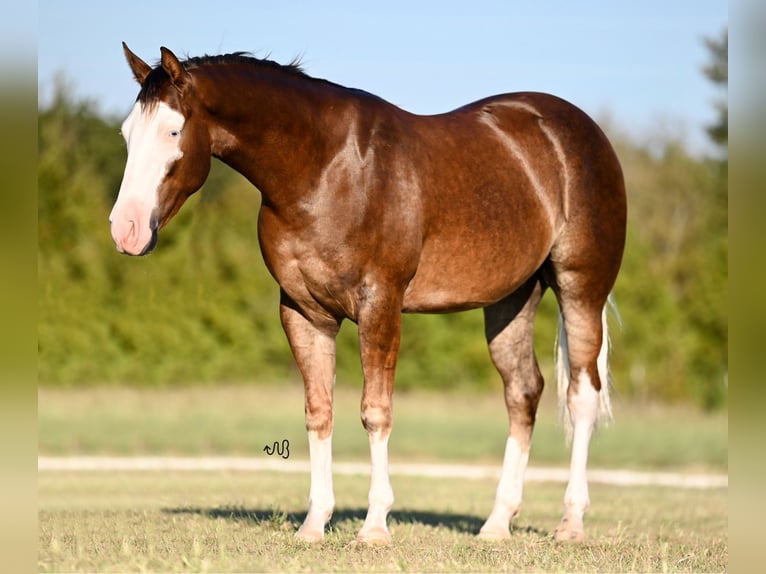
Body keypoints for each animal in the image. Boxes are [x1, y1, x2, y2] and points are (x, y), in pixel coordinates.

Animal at [112, 44, 632, 544]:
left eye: (173, 131)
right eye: (126, 134)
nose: (126, 229)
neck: (322, 170)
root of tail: (581, 132)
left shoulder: (379, 304)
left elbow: (375, 412)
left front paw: (375, 526)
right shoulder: (303, 312)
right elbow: (319, 412)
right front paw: (314, 524)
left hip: (580, 287)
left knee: (582, 394)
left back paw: (571, 524)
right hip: (512, 299)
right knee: (523, 391)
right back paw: (497, 524)